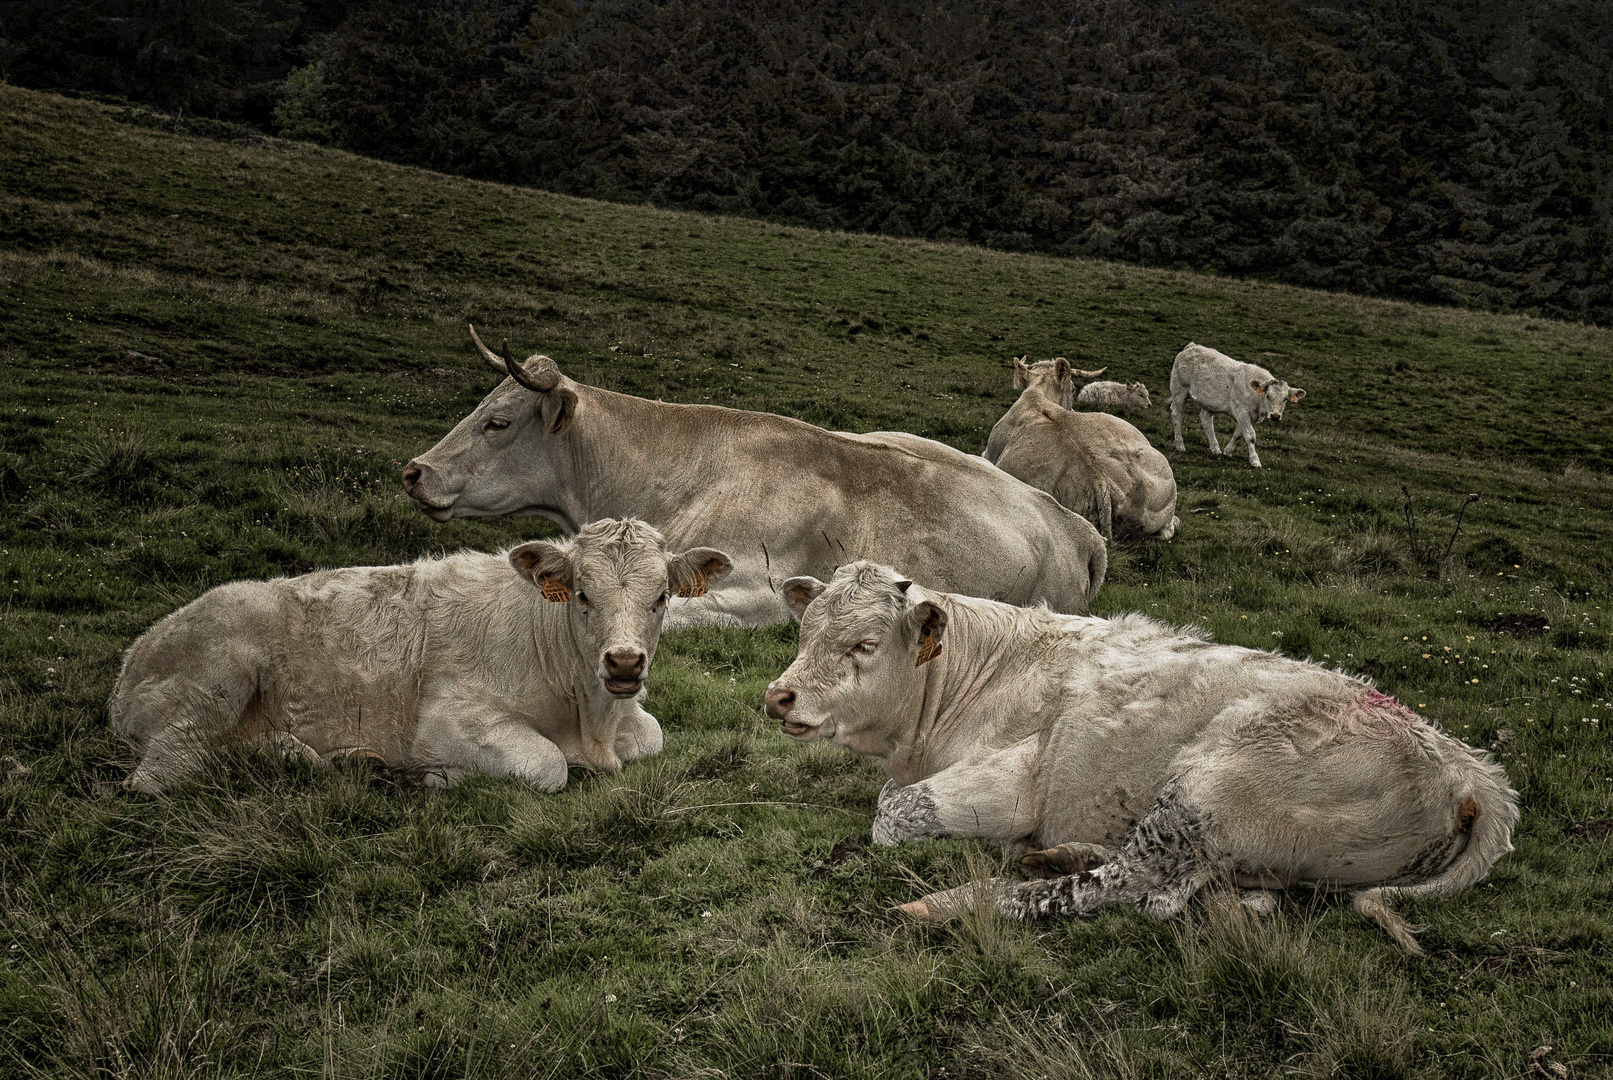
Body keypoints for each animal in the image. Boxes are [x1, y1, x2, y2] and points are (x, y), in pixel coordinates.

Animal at [105, 519, 725, 789]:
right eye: (582, 595)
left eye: (662, 597)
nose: (624, 662)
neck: (590, 718)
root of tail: (133, 657)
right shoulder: (447, 716)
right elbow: (547, 764)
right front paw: (441, 776)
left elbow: (653, 735)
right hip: (219, 675)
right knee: (162, 771)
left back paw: (332, 758)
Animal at [761, 564, 1516, 954]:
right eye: (803, 631)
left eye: (863, 644)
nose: (778, 696)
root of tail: (1470, 770)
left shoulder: (1017, 776)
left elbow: (892, 813)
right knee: (1210, 895)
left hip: (1212, 782)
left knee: (1130, 885)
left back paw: (955, 901)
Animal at [1174, 344, 1309, 467]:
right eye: (1268, 396)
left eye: (1285, 399)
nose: (1275, 416)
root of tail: (1192, 346)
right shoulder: (1242, 411)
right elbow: (1250, 436)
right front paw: (1255, 460)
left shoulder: (1250, 416)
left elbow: (1238, 434)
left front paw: (1228, 451)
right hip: (1179, 389)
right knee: (1177, 416)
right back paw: (1180, 445)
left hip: (1207, 402)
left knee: (1206, 420)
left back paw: (1215, 448)